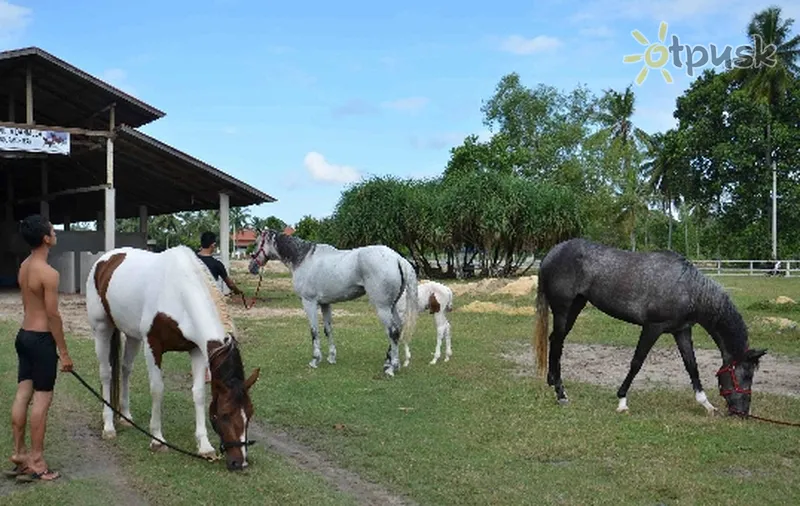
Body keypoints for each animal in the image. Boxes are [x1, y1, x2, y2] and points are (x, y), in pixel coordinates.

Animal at [87, 245, 262, 470]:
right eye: (224, 414)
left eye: (249, 413)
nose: (239, 462)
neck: (178, 292)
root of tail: (107, 258)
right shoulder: (153, 346)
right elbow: (157, 390)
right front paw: (157, 440)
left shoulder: (197, 350)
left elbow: (198, 394)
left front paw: (205, 446)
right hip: (102, 328)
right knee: (107, 374)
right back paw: (109, 426)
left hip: (132, 335)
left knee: (126, 369)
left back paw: (125, 416)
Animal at [250, 229, 418, 376]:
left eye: (257, 242)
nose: (252, 267)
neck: (304, 259)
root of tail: (397, 258)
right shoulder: (325, 304)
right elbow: (327, 329)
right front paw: (331, 357)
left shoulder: (309, 302)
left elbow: (314, 331)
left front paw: (315, 360)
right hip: (392, 306)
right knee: (398, 328)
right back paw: (387, 362)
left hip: (382, 307)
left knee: (393, 331)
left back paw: (391, 368)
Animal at [536, 239, 764, 418]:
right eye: (746, 376)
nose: (743, 412)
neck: (688, 289)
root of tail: (552, 252)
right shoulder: (652, 328)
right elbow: (637, 362)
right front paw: (622, 402)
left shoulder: (682, 331)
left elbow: (692, 366)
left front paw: (706, 404)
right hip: (563, 309)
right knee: (557, 342)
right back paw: (561, 395)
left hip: (576, 306)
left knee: (556, 340)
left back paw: (552, 382)